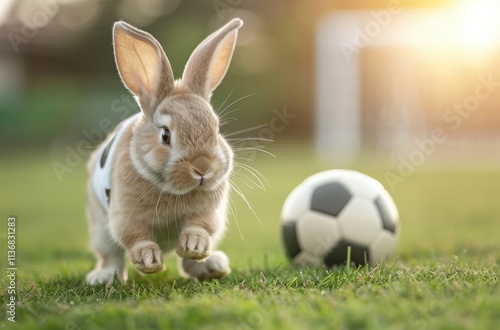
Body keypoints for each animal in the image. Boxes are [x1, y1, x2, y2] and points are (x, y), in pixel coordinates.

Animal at [84, 18, 244, 284]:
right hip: (99, 229)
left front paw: (195, 244)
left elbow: (199, 228)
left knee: (189, 262)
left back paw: (212, 266)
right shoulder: (126, 216)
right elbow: (135, 238)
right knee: (111, 256)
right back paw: (103, 278)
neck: (174, 191)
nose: (203, 167)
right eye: (165, 135)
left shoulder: (207, 212)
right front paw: (148, 259)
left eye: (216, 127)